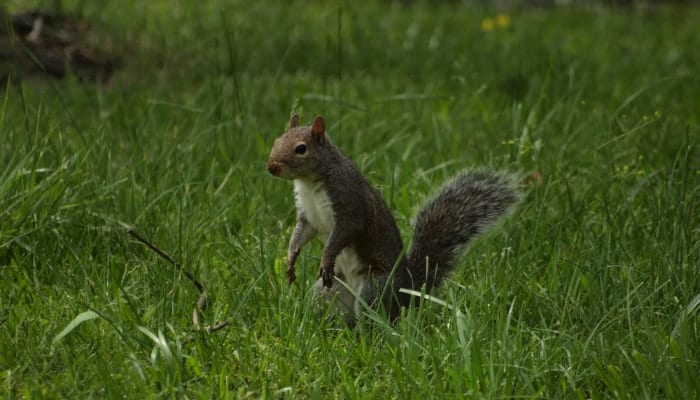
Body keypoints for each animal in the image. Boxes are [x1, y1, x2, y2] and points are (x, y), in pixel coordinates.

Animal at [268, 114, 520, 324]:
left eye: (301, 148)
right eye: (276, 140)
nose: (271, 167)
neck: (309, 182)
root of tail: (406, 293)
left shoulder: (349, 204)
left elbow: (343, 233)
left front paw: (326, 258)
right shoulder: (308, 216)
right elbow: (301, 233)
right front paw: (291, 259)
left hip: (374, 288)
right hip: (328, 290)